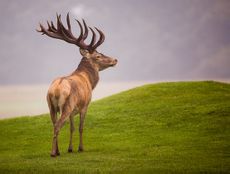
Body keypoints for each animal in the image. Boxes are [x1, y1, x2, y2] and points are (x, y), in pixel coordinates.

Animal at [36, 12, 117, 157]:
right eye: (98, 55)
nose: (115, 60)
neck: (89, 81)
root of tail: (56, 90)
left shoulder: (73, 111)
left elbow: (72, 128)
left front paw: (70, 148)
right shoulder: (85, 105)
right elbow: (80, 127)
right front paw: (80, 148)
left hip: (51, 105)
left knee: (54, 124)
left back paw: (58, 151)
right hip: (67, 105)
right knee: (58, 126)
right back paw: (53, 153)